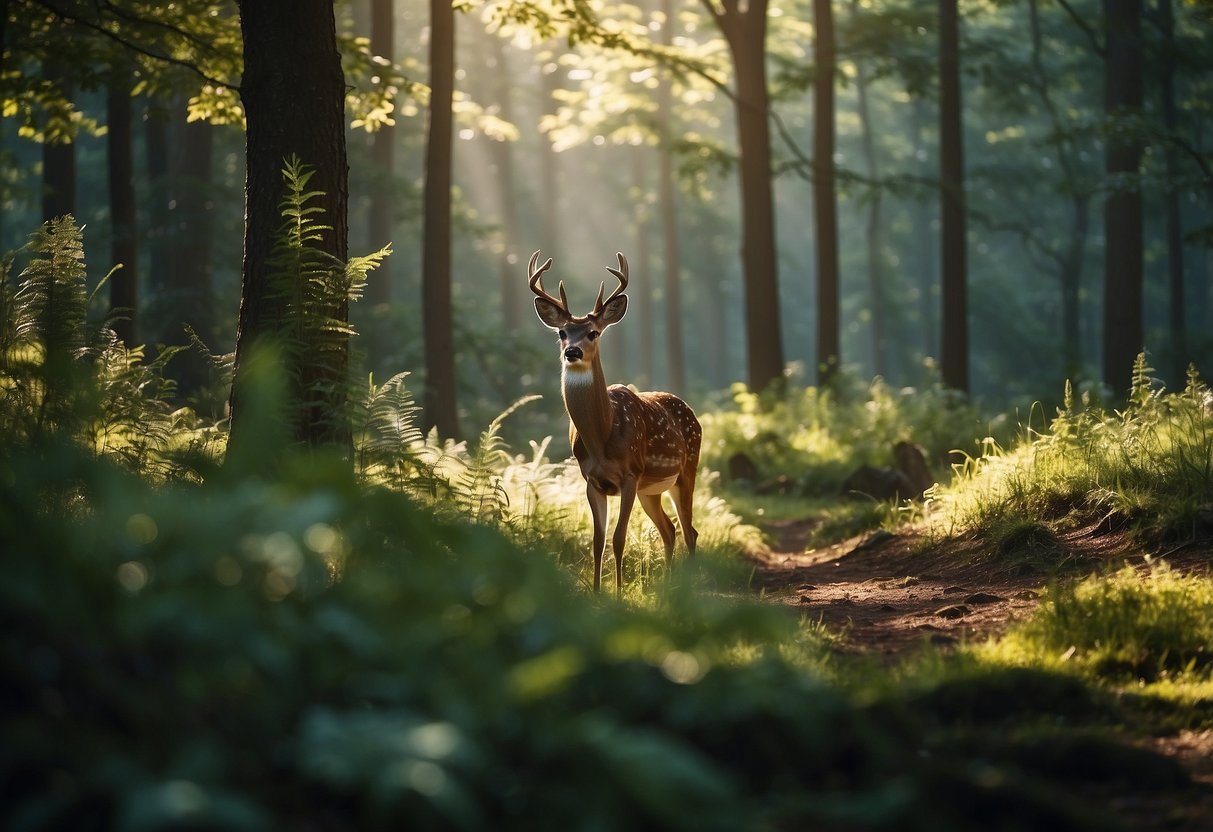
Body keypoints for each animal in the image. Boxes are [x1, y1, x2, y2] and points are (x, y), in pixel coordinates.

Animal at [528, 251, 708, 596]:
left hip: (686, 471)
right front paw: (597, 591)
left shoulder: (629, 474)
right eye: (562, 333)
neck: (603, 436)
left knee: (689, 529)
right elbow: (597, 541)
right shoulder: (591, 480)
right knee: (670, 530)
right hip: (651, 489)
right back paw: (670, 585)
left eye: (593, 332)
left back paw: (689, 588)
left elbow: (618, 538)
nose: (572, 352)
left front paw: (620, 592)